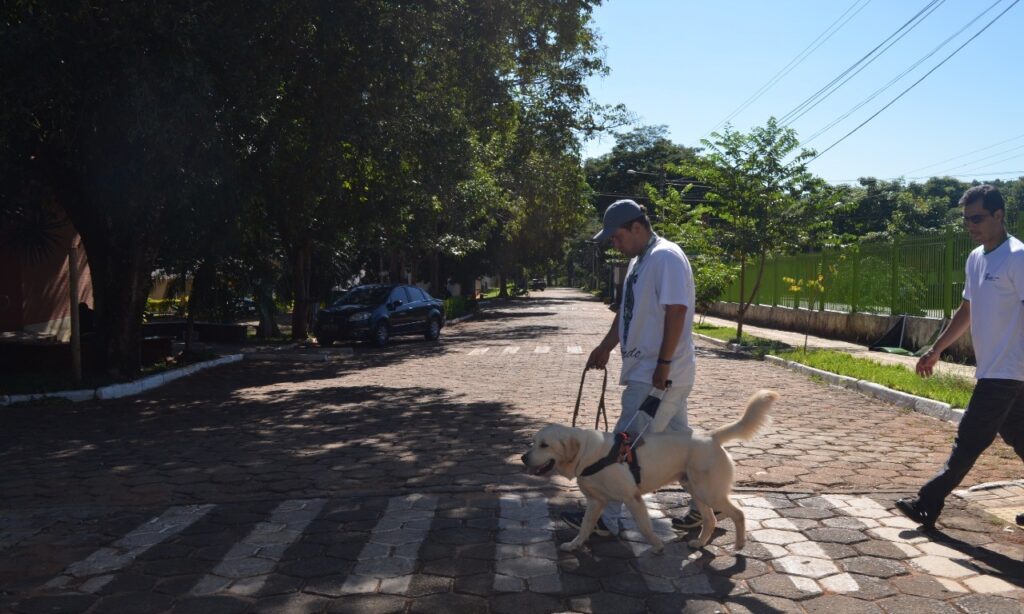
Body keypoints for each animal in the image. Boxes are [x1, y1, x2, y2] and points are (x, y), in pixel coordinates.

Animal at [520, 390, 774, 552]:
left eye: (544, 445)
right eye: (533, 442)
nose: (523, 458)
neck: (588, 454)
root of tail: (711, 436)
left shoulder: (632, 498)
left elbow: (644, 526)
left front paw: (658, 545)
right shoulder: (595, 502)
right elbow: (584, 528)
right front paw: (574, 545)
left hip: (708, 492)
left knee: (738, 513)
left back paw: (739, 544)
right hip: (695, 489)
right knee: (710, 519)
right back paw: (699, 543)